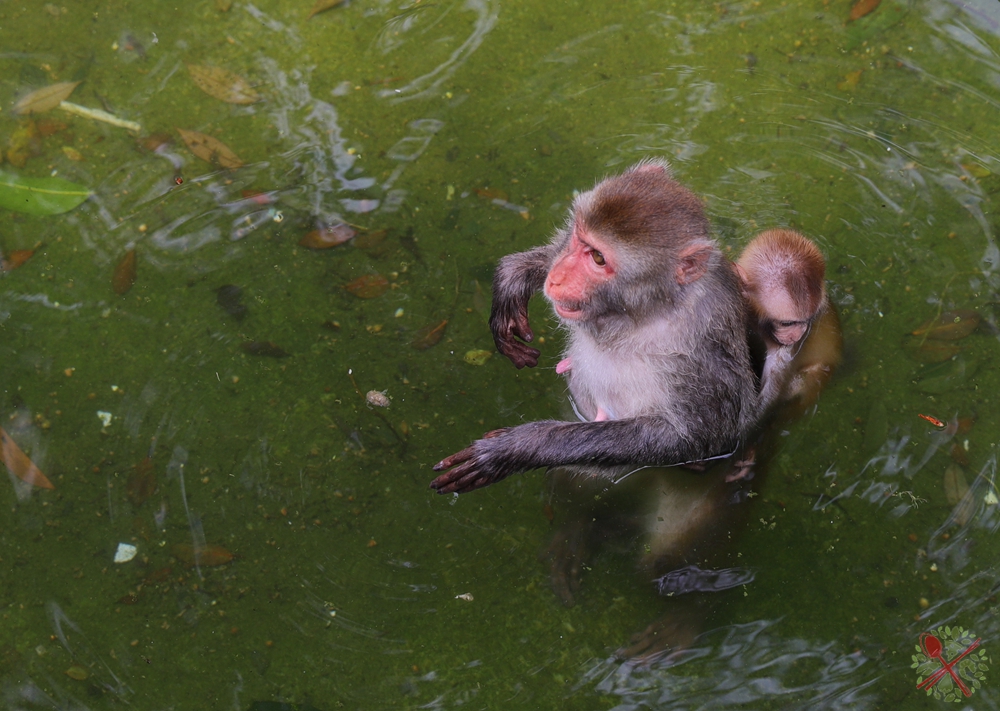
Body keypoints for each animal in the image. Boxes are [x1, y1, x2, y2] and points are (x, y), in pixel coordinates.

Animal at [432, 160, 756, 496]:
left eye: (599, 258)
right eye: (577, 234)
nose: (556, 278)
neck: (647, 310)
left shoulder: (704, 355)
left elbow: (698, 438)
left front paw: (518, 447)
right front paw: (512, 279)